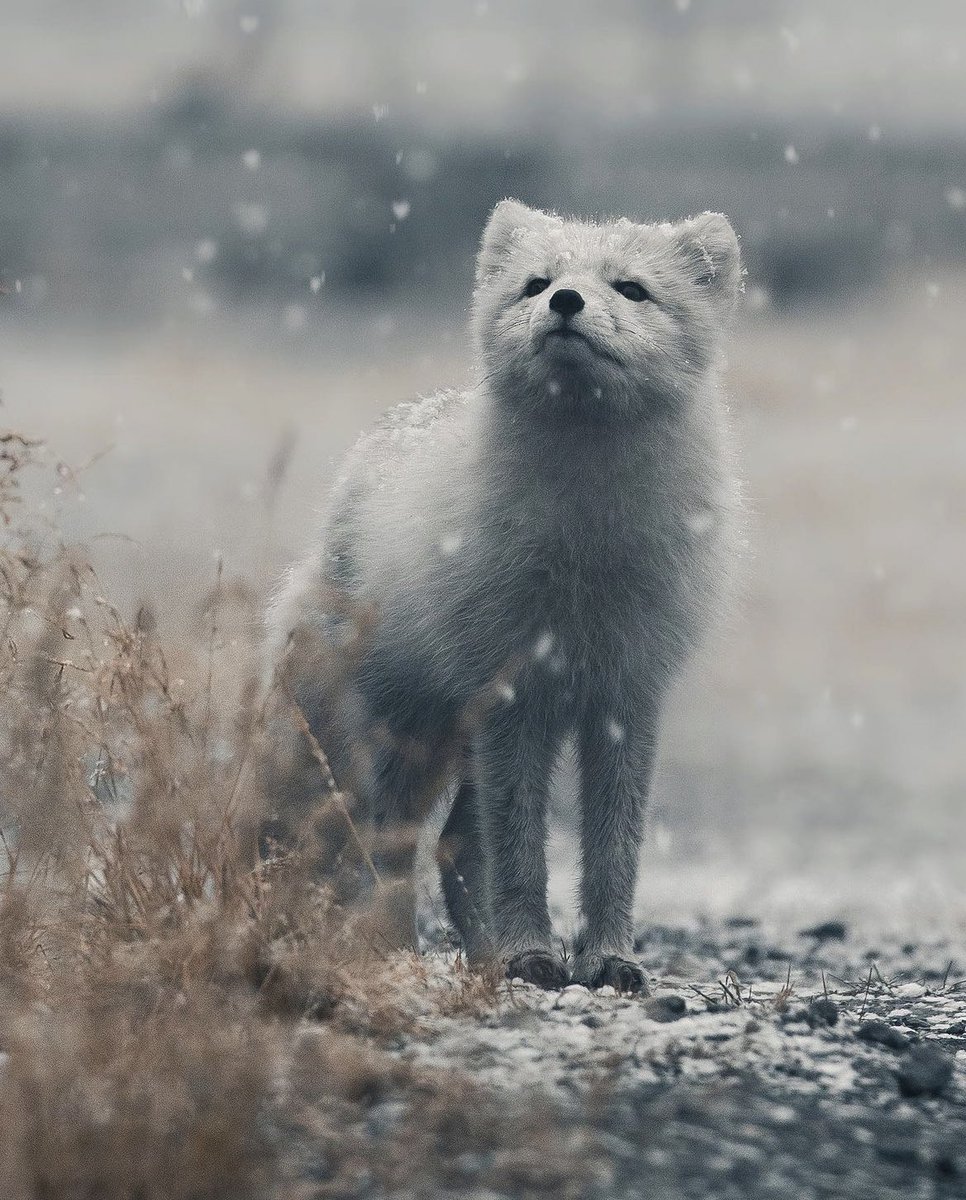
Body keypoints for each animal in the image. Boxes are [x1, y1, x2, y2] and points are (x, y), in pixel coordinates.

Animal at [264, 199, 742, 992]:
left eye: (632, 289)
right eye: (536, 283)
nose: (566, 301)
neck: (587, 543)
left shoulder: (626, 697)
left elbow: (615, 851)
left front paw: (609, 960)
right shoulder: (516, 697)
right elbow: (520, 852)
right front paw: (531, 954)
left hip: (459, 742)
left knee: (455, 847)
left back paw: (483, 957)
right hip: (402, 735)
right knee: (392, 846)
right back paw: (406, 952)